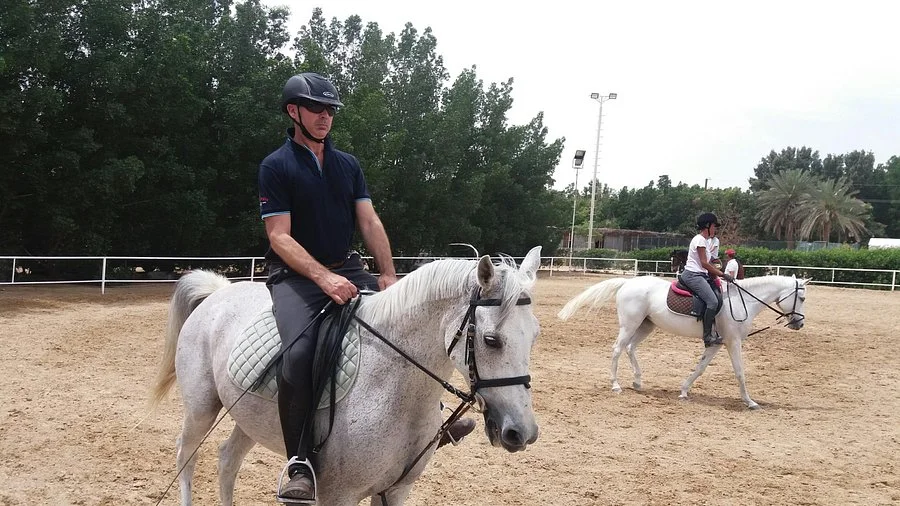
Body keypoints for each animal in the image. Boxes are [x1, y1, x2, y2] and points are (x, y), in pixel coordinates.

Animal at [150, 247, 540, 504]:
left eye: (535, 334)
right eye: (491, 340)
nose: (522, 433)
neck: (394, 386)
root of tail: (218, 292)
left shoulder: (396, 490)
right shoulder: (338, 495)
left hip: (250, 418)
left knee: (228, 460)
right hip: (201, 409)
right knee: (186, 457)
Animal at [556, 274, 808, 410]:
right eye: (802, 297)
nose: (799, 324)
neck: (741, 301)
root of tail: (627, 283)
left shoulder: (716, 343)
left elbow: (700, 368)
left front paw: (684, 391)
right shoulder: (733, 341)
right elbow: (739, 372)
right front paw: (750, 402)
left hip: (646, 326)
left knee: (630, 348)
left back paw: (637, 381)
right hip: (630, 324)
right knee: (618, 349)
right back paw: (616, 385)